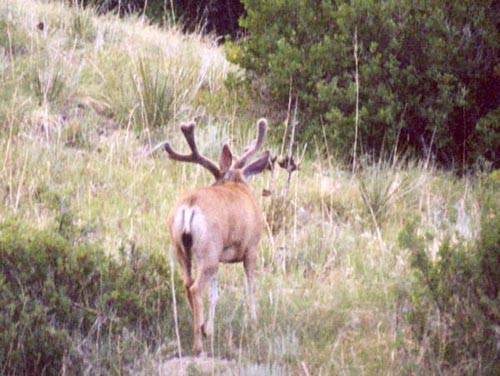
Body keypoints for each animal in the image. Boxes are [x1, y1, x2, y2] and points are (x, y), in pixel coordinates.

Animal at [164, 118, 274, 356]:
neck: (237, 183)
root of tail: (190, 206)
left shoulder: (221, 255)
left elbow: (215, 294)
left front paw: (210, 329)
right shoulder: (251, 248)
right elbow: (251, 285)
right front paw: (253, 321)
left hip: (182, 249)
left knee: (187, 284)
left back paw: (200, 329)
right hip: (208, 251)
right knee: (196, 289)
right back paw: (198, 346)